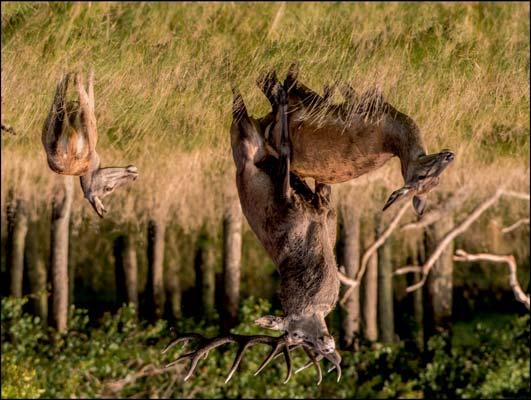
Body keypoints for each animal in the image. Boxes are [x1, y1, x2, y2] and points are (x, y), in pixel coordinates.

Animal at [42, 70, 138, 217]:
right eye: (108, 189)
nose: (134, 174)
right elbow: (89, 96)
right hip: (90, 125)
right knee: (81, 91)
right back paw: (82, 72)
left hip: (52, 119)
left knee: (60, 93)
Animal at [164, 80, 342, 384]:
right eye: (295, 335)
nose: (329, 349)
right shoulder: (293, 208)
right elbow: (299, 167)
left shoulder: (325, 213)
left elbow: (321, 180)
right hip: (248, 145)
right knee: (259, 127)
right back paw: (278, 94)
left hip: (253, 136)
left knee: (253, 116)